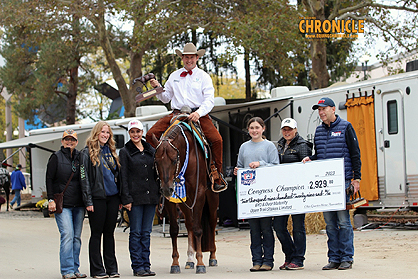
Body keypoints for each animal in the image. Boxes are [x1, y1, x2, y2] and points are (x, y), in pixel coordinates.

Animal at [153, 122, 219, 274]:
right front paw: (175, 263)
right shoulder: (172, 200)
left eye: (173, 160)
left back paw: (212, 257)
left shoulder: (199, 193)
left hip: (212, 200)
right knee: (188, 224)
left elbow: (198, 229)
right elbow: (174, 230)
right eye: (156, 161)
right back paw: (189, 260)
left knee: (212, 224)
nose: (166, 189)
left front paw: (200, 263)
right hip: (185, 202)